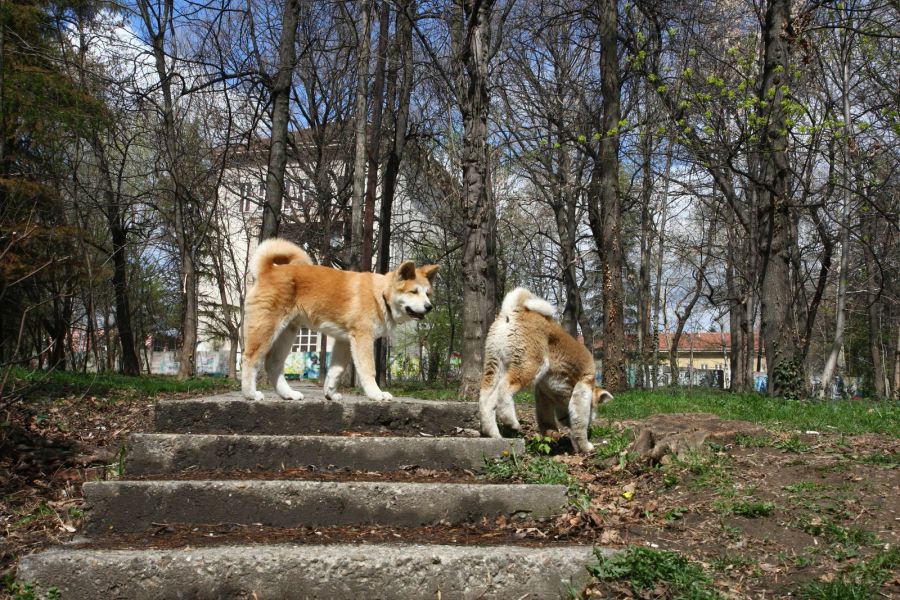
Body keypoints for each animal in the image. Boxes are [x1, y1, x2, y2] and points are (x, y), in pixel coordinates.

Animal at [239, 239, 436, 404]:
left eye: (428, 293)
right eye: (414, 292)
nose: (429, 307)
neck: (380, 295)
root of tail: (269, 270)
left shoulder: (344, 341)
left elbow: (336, 371)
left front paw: (330, 394)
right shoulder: (363, 338)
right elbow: (368, 369)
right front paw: (376, 394)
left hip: (288, 332)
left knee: (273, 364)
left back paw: (288, 394)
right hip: (267, 329)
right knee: (250, 360)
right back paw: (250, 394)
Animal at [482, 288, 616, 452]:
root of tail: (514, 309)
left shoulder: (543, 395)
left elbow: (547, 421)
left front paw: (554, 436)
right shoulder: (582, 388)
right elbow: (579, 424)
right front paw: (586, 446)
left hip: (494, 365)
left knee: (486, 400)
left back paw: (493, 433)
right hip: (531, 367)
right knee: (504, 390)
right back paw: (510, 421)